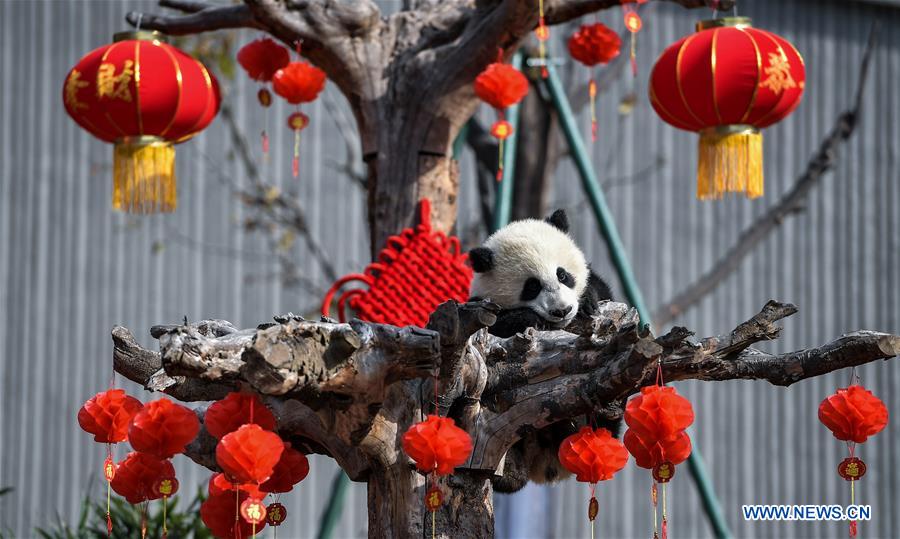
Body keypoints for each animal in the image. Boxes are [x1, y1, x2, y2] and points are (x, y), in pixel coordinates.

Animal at [468, 208, 620, 493]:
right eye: (532, 286)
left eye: (563, 275)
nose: (562, 310)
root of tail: (550, 465)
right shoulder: (478, 308)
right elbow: (497, 325)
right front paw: (528, 318)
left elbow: (599, 289)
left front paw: (587, 301)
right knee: (508, 476)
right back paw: (510, 469)